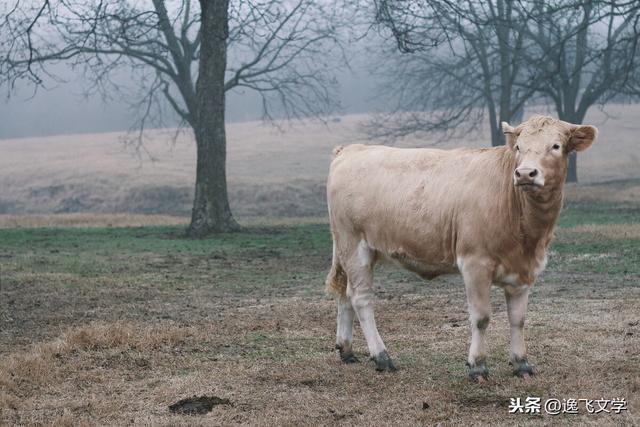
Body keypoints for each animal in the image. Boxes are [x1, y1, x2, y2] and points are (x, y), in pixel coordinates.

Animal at [328, 114, 596, 382]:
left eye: (556, 146)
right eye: (519, 147)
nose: (525, 174)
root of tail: (351, 149)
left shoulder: (524, 270)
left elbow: (518, 319)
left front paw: (521, 363)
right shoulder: (475, 263)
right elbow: (481, 318)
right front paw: (477, 365)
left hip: (349, 250)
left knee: (345, 293)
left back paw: (347, 349)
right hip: (354, 245)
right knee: (361, 298)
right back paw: (382, 357)